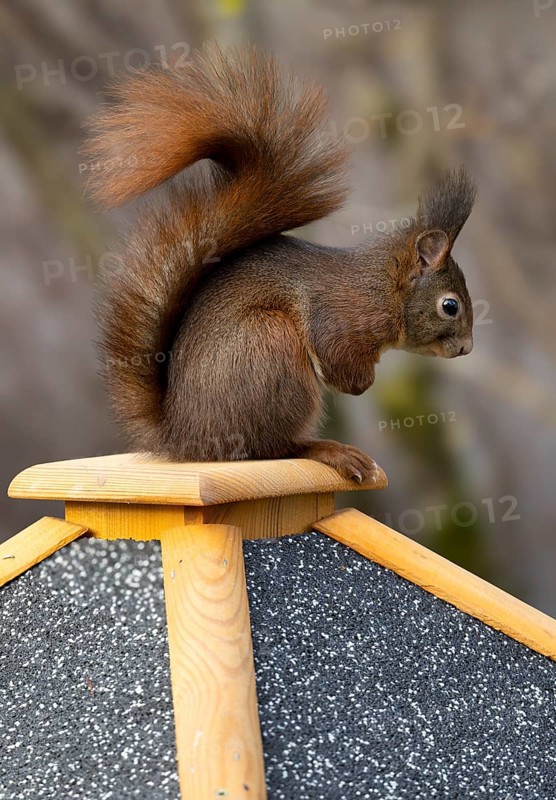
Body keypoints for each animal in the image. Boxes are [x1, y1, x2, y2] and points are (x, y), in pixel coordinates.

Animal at [85, 44, 476, 483]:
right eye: (450, 306)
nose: (467, 348)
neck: (383, 287)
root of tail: (185, 439)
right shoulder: (343, 315)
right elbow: (337, 360)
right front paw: (361, 383)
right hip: (268, 348)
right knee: (273, 447)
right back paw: (327, 449)